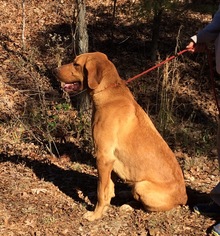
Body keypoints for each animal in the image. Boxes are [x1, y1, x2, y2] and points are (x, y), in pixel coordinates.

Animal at [54, 51, 187, 221]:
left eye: (76, 64)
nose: (54, 70)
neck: (107, 93)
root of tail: (184, 198)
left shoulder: (103, 157)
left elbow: (101, 191)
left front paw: (96, 214)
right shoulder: (108, 161)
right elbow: (108, 188)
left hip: (142, 186)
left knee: (146, 207)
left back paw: (128, 205)